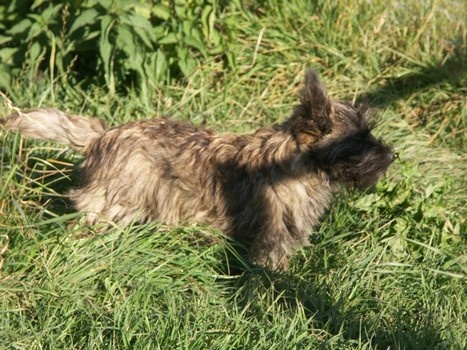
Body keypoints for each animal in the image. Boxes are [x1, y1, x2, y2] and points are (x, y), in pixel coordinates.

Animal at [2, 69, 394, 270]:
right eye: (358, 140)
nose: (391, 155)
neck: (298, 164)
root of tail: (102, 135)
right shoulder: (273, 240)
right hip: (112, 205)